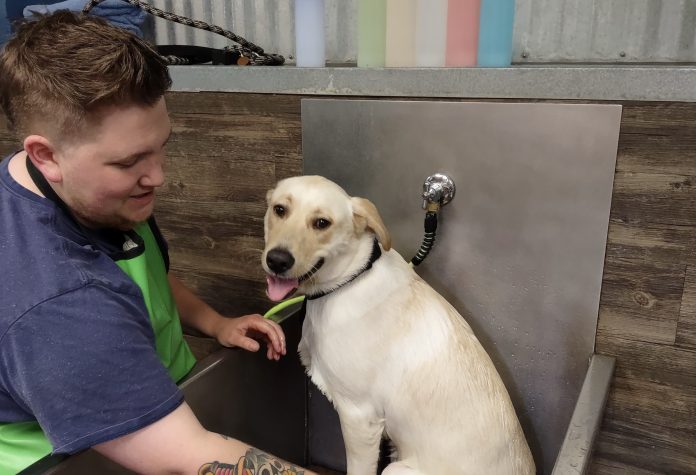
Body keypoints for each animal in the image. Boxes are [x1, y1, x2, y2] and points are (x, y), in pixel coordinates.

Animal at [264, 177, 536, 474]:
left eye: (322, 223)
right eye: (279, 210)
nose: (276, 260)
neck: (348, 281)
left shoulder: (360, 417)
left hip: (395, 469)